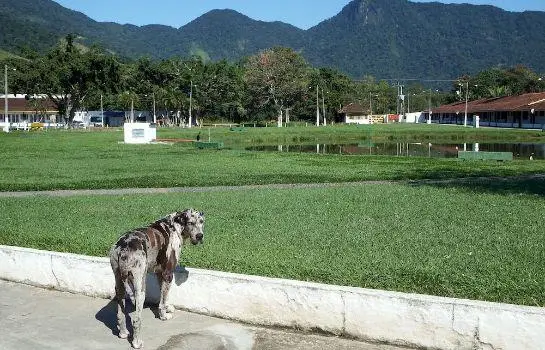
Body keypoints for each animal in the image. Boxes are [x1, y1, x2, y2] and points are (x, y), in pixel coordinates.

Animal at [108, 209, 204, 348]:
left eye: (201, 222)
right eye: (191, 222)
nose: (200, 236)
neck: (175, 225)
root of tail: (123, 248)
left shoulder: (160, 273)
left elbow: (164, 296)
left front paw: (167, 307)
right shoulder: (168, 274)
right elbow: (162, 301)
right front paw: (163, 316)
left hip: (119, 285)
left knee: (120, 313)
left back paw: (123, 333)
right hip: (140, 290)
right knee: (136, 320)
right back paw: (136, 342)